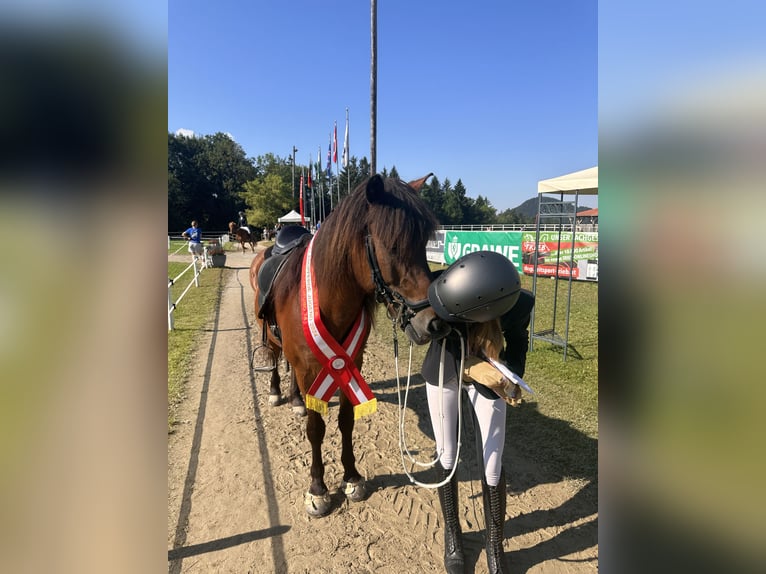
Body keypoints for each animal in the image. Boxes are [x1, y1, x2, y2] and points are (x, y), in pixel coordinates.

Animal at [249, 173, 451, 517]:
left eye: (424, 245)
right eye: (393, 246)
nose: (433, 323)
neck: (328, 298)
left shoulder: (348, 364)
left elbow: (346, 421)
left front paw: (352, 477)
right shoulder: (312, 367)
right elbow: (316, 429)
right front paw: (318, 489)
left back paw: (295, 399)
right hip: (271, 336)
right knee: (275, 359)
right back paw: (277, 392)